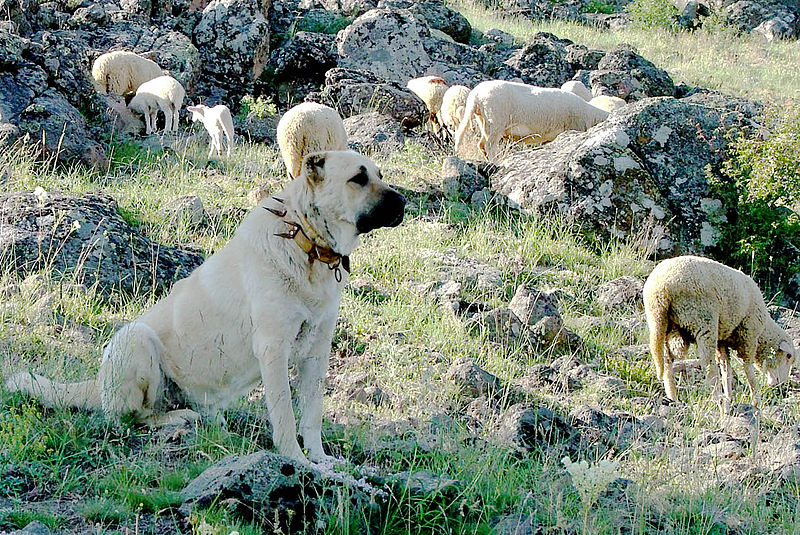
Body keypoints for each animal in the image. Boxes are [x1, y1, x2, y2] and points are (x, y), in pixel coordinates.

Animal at [4, 150, 406, 464]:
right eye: (358, 178)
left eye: (380, 174)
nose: (403, 203)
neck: (305, 241)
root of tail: (97, 384)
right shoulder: (273, 349)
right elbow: (286, 417)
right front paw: (295, 460)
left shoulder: (316, 354)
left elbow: (312, 416)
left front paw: (321, 461)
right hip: (136, 338)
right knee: (133, 417)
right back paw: (178, 418)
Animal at [454, 80, 608, 161]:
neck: (591, 114)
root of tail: (476, 95)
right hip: (496, 120)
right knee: (489, 146)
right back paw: (495, 161)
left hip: (484, 122)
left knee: (481, 144)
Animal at [640, 255, 796, 406]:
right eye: (788, 356)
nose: (780, 385)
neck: (763, 331)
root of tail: (660, 290)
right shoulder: (748, 336)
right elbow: (748, 369)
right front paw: (755, 400)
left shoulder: (723, 341)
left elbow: (727, 369)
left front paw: (730, 397)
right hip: (703, 320)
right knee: (707, 362)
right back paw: (715, 395)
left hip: (662, 324)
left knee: (667, 360)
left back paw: (673, 395)